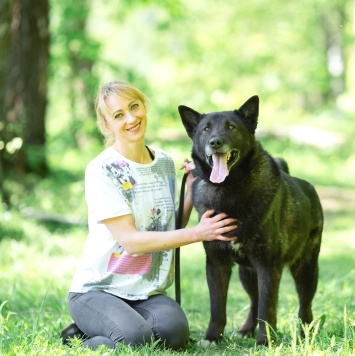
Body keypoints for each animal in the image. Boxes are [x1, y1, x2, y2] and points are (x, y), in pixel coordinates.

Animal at [179, 96, 324, 346]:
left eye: (231, 127)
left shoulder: (268, 266)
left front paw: (265, 342)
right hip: (247, 273)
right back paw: (247, 329)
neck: (228, 188)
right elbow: (217, 307)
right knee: (254, 300)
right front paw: (212, 338)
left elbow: (268, 307)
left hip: (305, 268)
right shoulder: (216, 263)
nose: (215, 142)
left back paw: (305, 334)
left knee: (304, 305)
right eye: (206, 129)